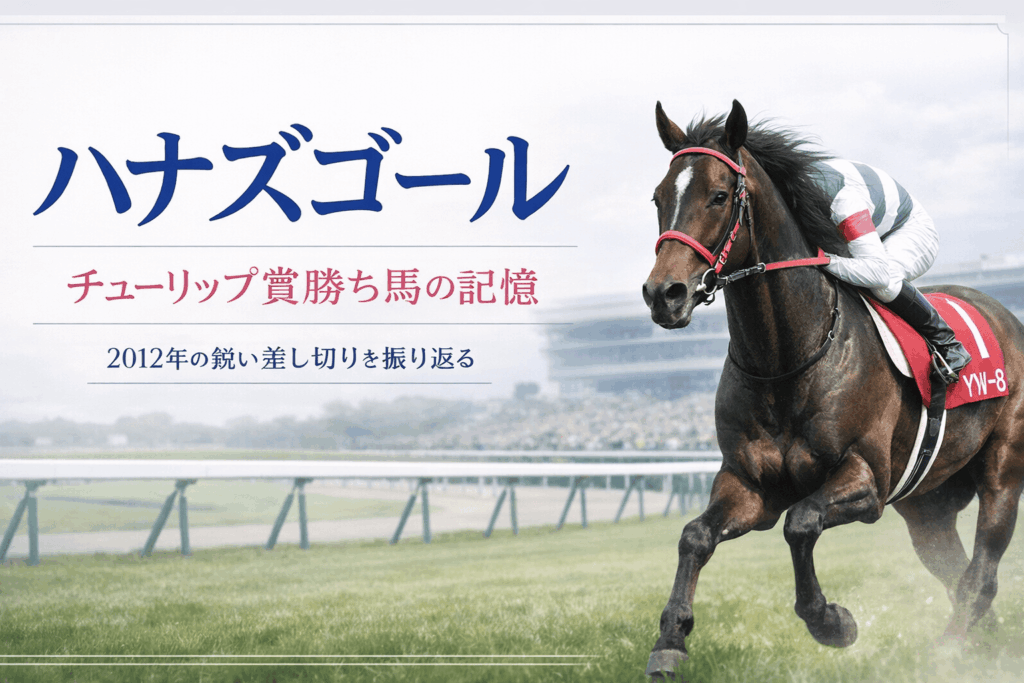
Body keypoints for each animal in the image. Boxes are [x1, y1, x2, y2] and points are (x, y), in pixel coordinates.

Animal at [641, 100, 1024, 679]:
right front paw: (670, 639)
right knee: (959, 575)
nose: (664, 294)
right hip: (927, 506)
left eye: (719, 195)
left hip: (1002, 472)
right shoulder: (749, 484)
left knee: (980, 574)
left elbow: (800, 523)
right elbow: (695, 535)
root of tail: (1006, 314)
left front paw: (830, 621)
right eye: (660, 197)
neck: (784, 362)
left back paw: (947, 651)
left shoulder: (867, 479)